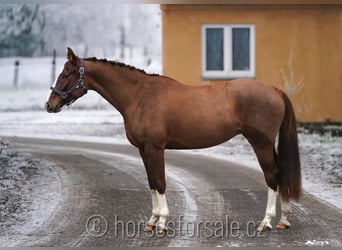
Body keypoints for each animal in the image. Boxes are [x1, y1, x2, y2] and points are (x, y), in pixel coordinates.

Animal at [46, 48, 302, 232]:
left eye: (67, 73)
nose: (50, 105)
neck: (140, 96)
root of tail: (275, 90)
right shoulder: (143, 150)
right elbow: (151, 182)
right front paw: (151, 221)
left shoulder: (155, 148)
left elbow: (160, 182)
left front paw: (161, 223)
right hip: (267, 145)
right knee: (281, 173)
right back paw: (284, 220)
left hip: (261, 144)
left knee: (272, 176)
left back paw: (266, 222)